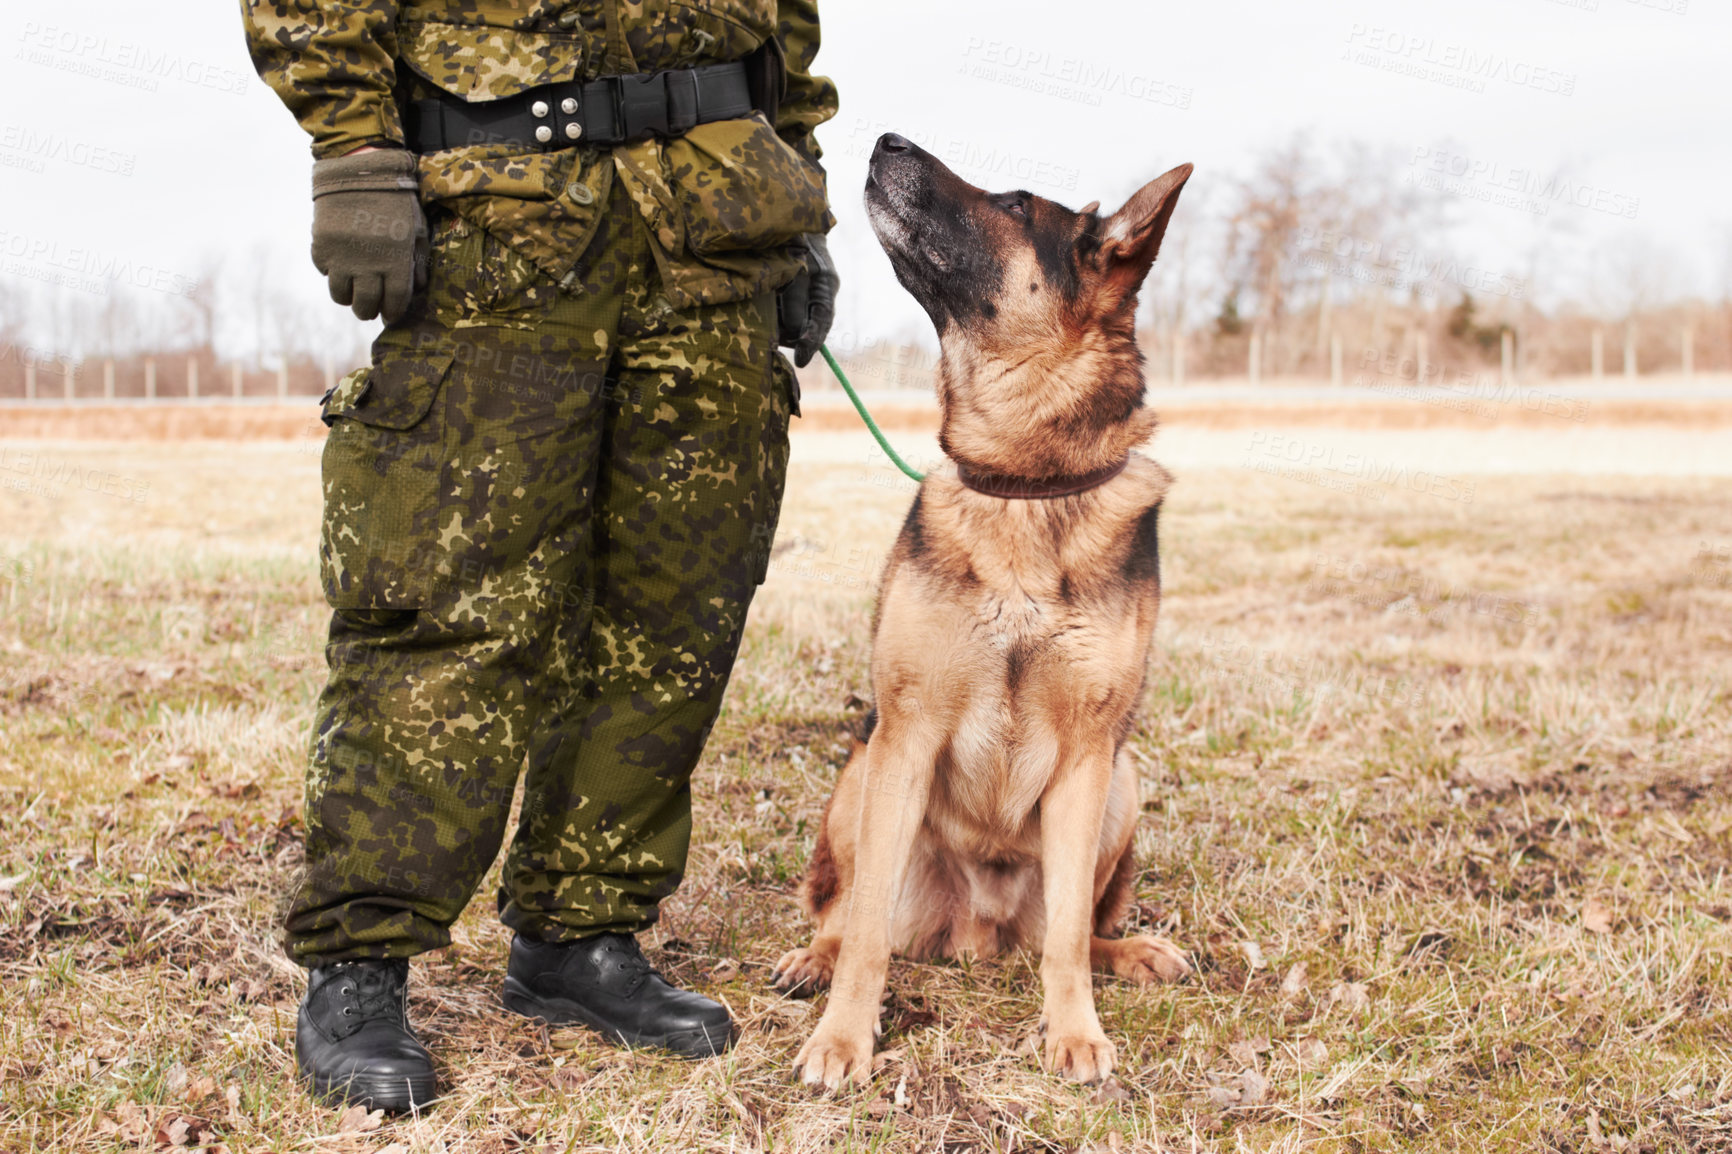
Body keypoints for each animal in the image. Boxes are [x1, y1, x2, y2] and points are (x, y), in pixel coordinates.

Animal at [779, 136, 1198, 1088]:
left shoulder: (1087, 758)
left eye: (1012, 203)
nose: (886, 140)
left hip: (1122, 782)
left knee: (1067, 932)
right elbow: (866, 932)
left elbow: (1069, 941)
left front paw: (1073, 1031)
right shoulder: (906, 733)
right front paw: (842, 1039)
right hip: (863, 768)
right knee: (848, 916)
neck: (1023, 485)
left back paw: (1132, 953)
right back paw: (812, 961)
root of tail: (978, 932)